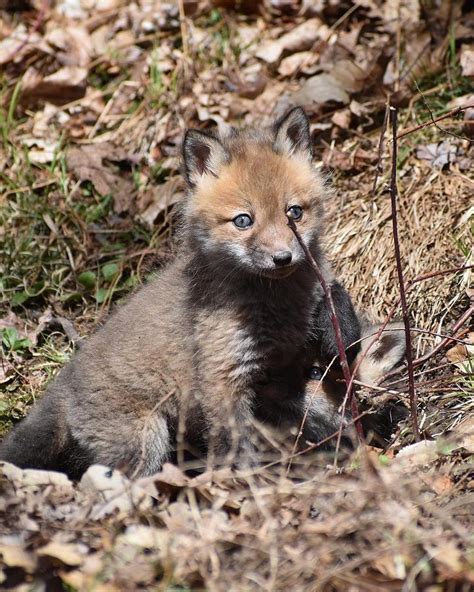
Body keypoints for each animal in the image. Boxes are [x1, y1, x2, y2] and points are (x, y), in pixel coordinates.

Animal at [1, 106, 362, 478]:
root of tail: (61, 387)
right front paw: (243, 483)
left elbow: (337, 302)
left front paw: (341, 335)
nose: (283, 258)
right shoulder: (223, 375)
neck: (276, 303)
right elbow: (235, 445)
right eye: (243, 221)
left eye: (294, 212)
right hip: (147, 439)